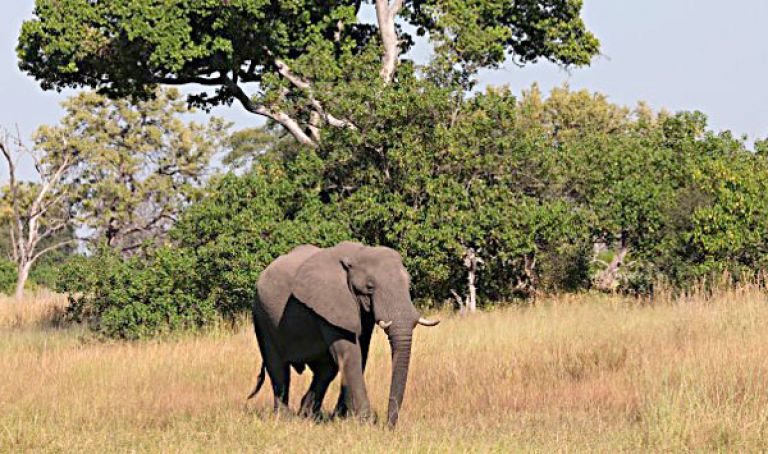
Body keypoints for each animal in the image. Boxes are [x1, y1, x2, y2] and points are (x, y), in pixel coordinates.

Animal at [248, 241, 438, 426]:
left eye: (409, 283)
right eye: (370, 287)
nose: (388, 426)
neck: (358, 254)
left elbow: (361, 352)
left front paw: (343, 418)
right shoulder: (331, 303)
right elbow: (350, 353)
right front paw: (365, 422)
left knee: (325, 371)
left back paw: (307, 416)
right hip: (262, 315)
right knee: (278, 368)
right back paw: (284, 419)